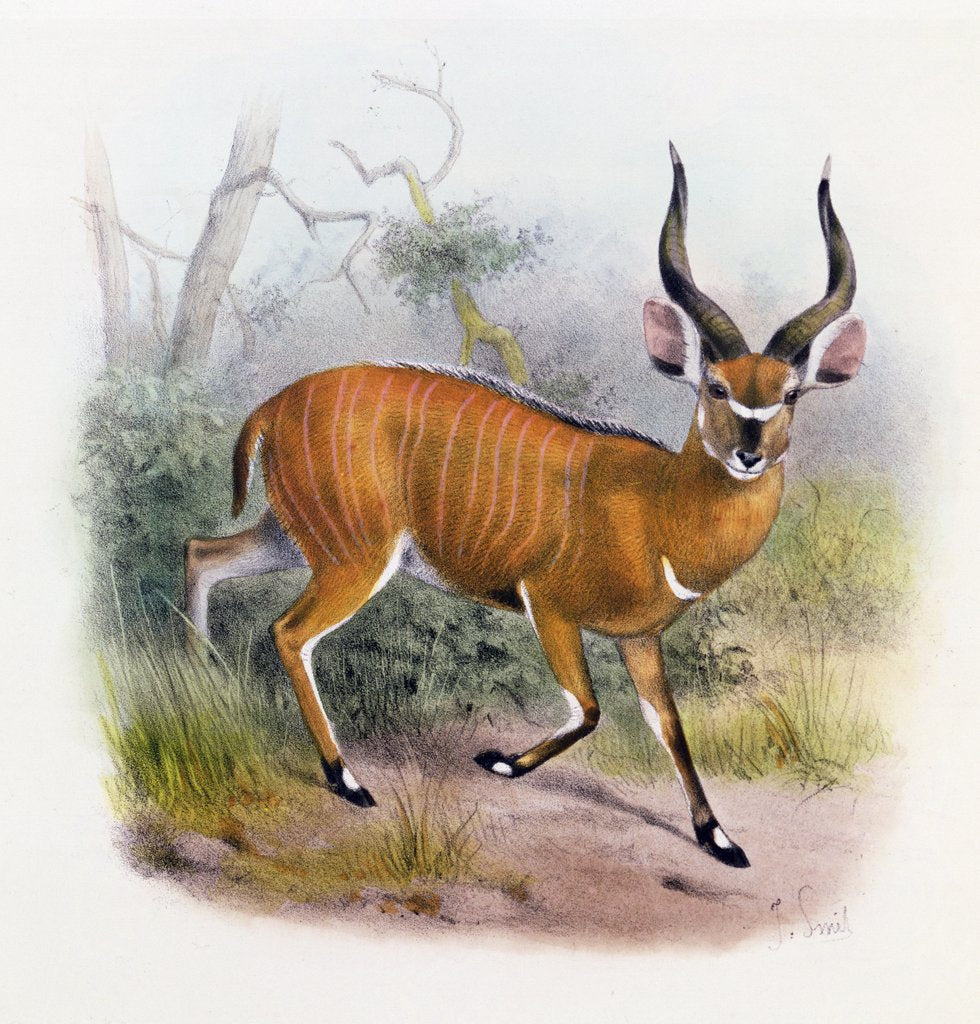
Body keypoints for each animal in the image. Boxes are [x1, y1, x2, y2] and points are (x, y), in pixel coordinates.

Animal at [185, 146, 865, 868]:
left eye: (790, 394)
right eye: (714, 386)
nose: (749, 453)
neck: (658, 508)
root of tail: (272, 406)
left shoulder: (640, 638)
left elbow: (668, 724)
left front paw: (719, 839)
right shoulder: (548, 603)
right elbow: (589, 709)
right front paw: (500, 761)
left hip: (296, 536)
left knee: (203, 553)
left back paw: (199, 676)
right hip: (356, 555)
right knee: (288, 631)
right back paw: (346, 779)